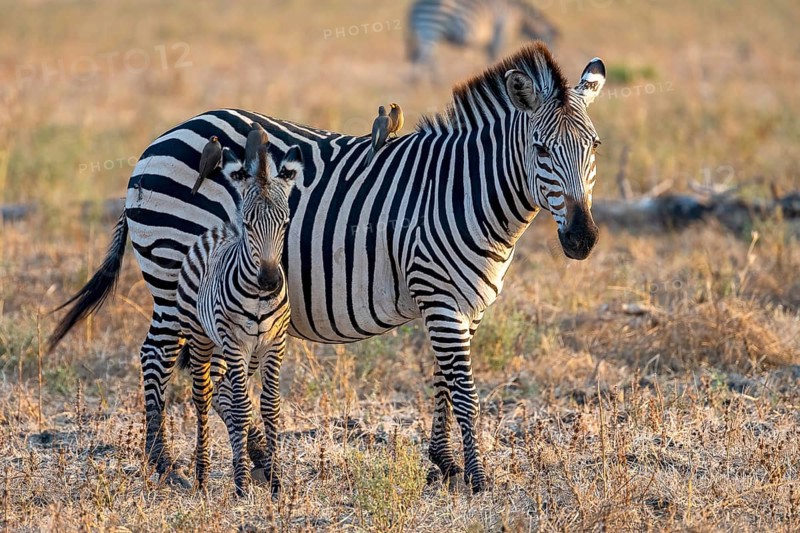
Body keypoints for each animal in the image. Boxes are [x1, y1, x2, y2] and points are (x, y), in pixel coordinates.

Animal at [177, 140, 302, 495]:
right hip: (202, 337)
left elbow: (269, 406)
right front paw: (242, 484)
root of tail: (217, 231)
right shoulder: (235, 343)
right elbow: (242, 407)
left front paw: (275, 480)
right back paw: (202, 475)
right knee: (204, 395)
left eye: (285, 223)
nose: (270, 282)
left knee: (226, 393)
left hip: (244, 352)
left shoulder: (274, 343)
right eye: (248, 224)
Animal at [407, 0, 559, 82]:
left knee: (421, 57)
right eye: (549, 52)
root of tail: (415, 7)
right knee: (425, 58)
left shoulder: (491, 38)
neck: (519, 16)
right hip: (431, 29)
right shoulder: (502, 30)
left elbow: (490, 56)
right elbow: (496, 54)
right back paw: (430, 83)